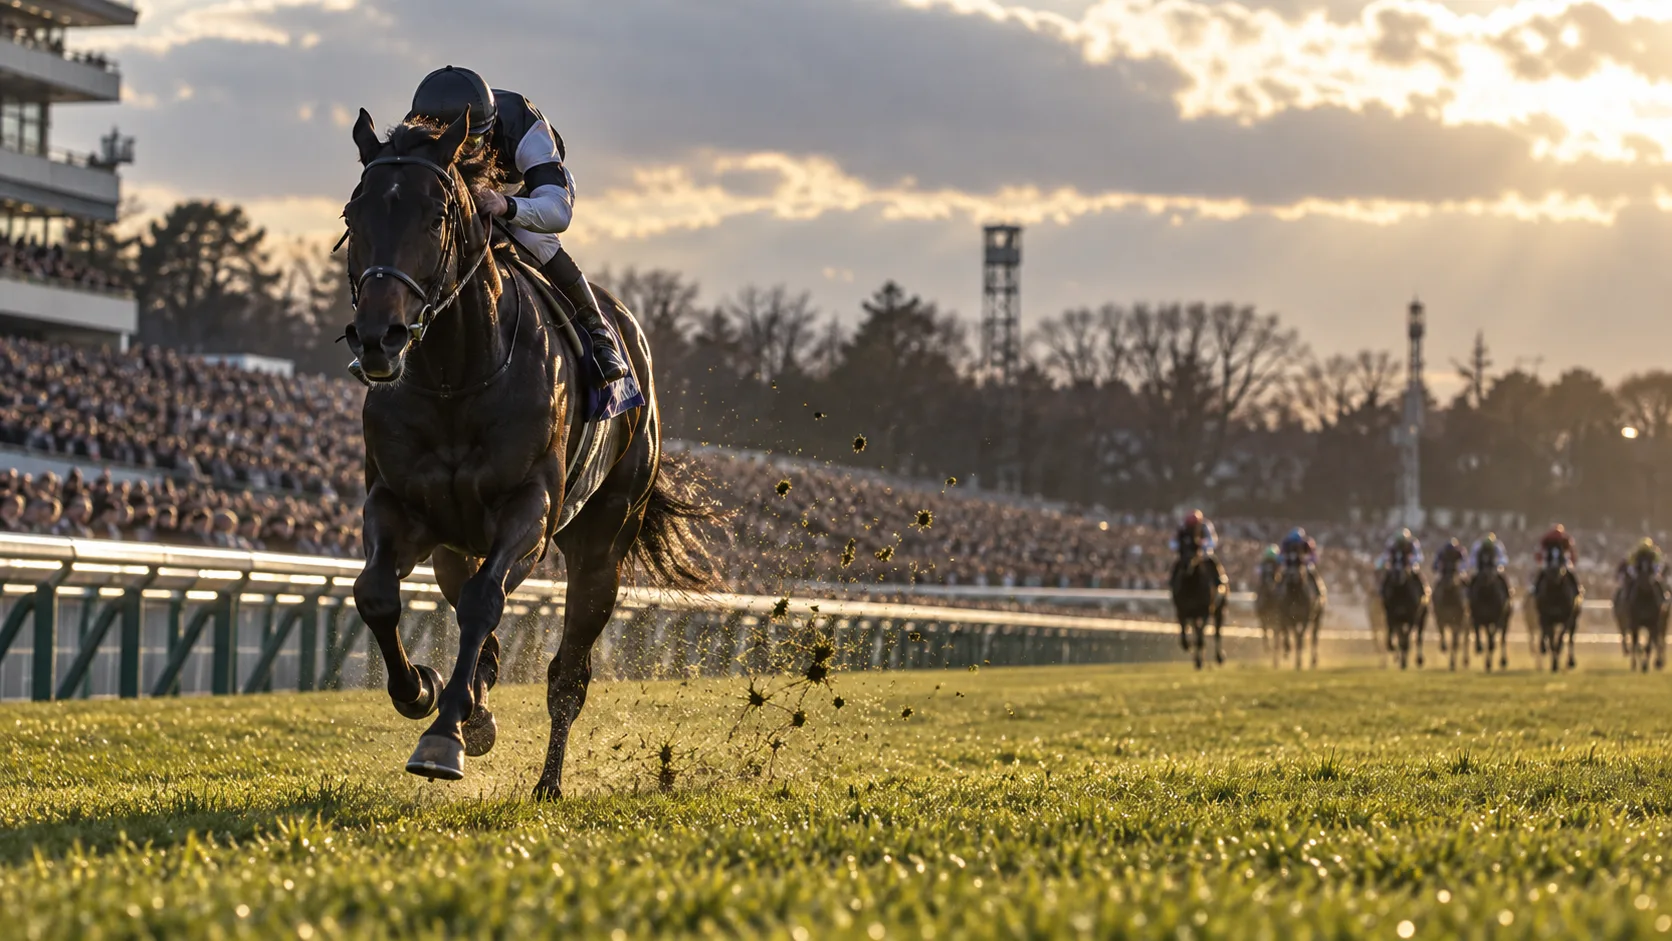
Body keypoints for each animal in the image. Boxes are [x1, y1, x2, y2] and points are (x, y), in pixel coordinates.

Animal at [341, 110, 718, 794]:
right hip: (455, 543)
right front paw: (422, 690)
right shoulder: (398, 503)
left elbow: (486, 602)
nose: (379, 338)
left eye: (434, 216)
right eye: (355, 214)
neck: (455, 377)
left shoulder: (529, 512)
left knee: (568, 673)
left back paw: (546, 781)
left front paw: (442, 739)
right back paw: (475, 708)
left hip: (603, 542)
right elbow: (376, 592)